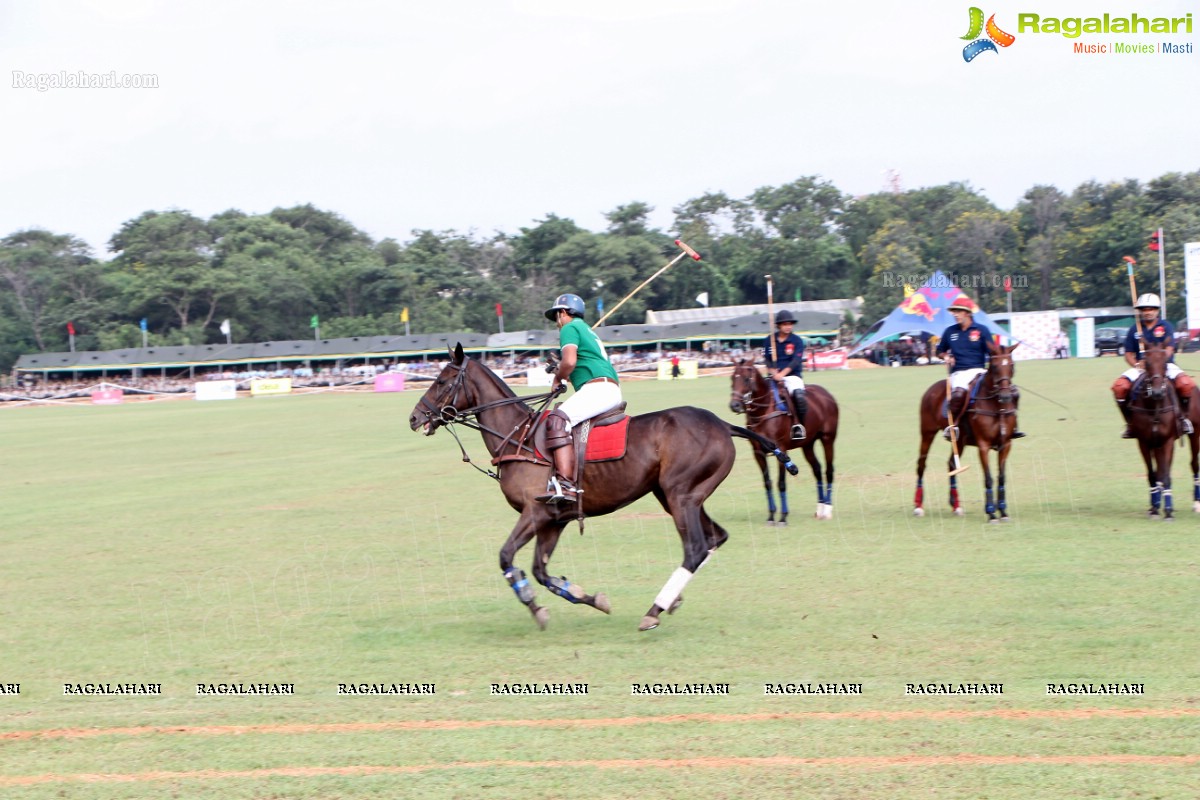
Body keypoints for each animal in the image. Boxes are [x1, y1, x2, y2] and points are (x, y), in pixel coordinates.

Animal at [410, 345, 796, 633]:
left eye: (443, 380)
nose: (414, 418)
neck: (517, 437)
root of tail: (722, 423)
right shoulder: (554, 519)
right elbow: (541, 571)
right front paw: (591, 598)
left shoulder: (534, 512)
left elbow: (507, 557)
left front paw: (535, 608)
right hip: (679, 495)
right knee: (716, 537)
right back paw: (673, 600)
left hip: (681, 494)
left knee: (696, 548)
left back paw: (655, 610)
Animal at [724, 357, 840, 522]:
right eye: (732, 378)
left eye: (746, 379)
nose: (734, 405)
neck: (763, 410)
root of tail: (826, 394)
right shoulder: (758, 452)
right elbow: (767, 482)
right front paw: (771, 516)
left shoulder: (781, 448)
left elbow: (781, 483)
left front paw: (783, 518)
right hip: (808, 444)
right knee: (817, 469)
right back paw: (820, 509)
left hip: (828, 438)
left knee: (829, 470)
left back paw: (828, 510)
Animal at [912, 345, 1017, 522]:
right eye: (995, 366)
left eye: (1011, 365)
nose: (1005, 396)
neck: (997, 407)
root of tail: (932, 388)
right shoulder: (983, 445)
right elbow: (988, 477)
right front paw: (991, 513)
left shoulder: (1006, 444)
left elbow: (1002, 477)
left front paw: (1003, 511)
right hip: (927, 432)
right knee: (921, 464)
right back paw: (918, 506)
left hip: (959, 441)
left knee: (951, 464)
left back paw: (956, 505)